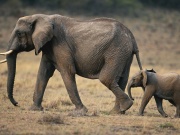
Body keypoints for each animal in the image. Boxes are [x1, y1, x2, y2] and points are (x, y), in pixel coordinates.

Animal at [0, 14, 142, 114]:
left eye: (19, 33)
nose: (17, 103)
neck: (42, 17)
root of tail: (132, 37)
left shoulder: (59, 44)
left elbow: (67, 72)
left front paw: (81, 111)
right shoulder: (48, 47)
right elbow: (43, 73)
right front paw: (34, 109)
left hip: (117, 51)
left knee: (106, 79)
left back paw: (125, 106)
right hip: (124, 54)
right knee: (121, 80)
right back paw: (117, 111)